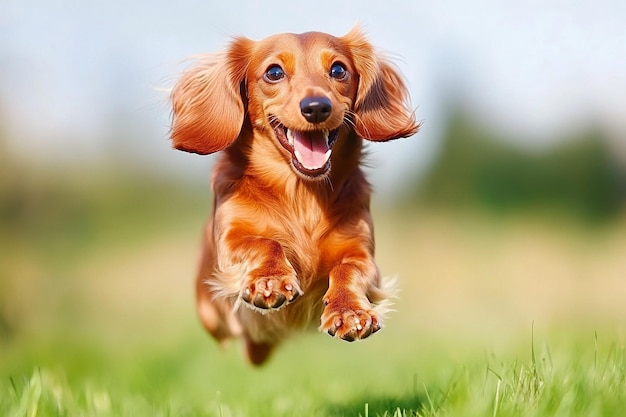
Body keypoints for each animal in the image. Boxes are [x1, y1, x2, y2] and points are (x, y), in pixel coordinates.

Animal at [168, 26, 416, 364]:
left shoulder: (361, 253)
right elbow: (265, 242)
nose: (316, 107)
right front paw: (269, 280)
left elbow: (348, 269)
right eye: (274, 72)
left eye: (338, 70)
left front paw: (350, 312)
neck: (301, 195)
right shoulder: (230, 241)